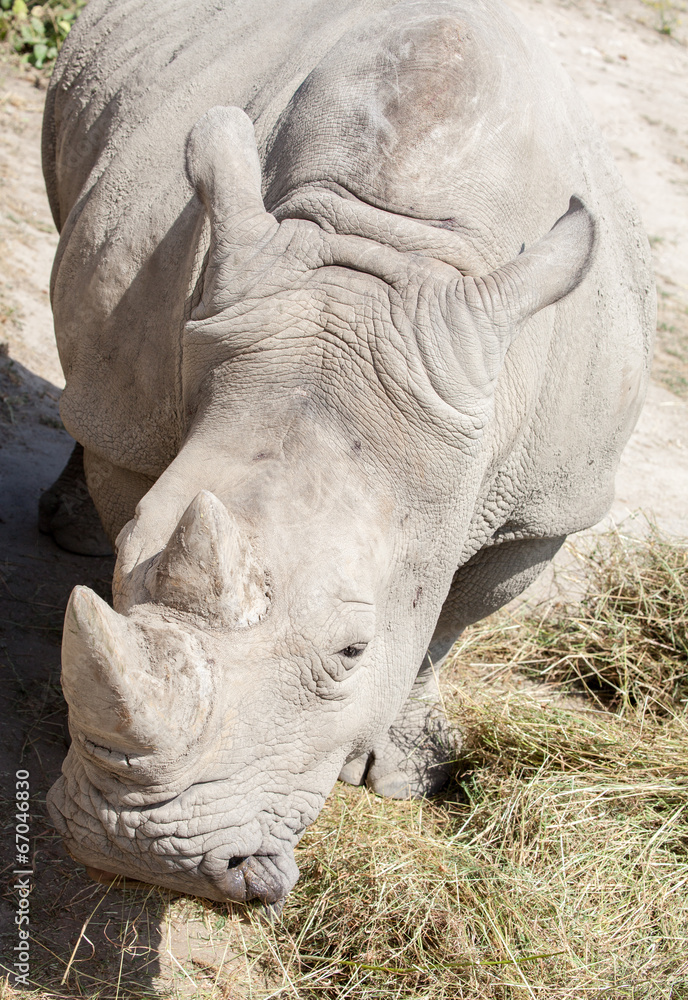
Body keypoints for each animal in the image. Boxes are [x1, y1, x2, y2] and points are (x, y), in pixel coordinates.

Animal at [42, 0, 654, 906]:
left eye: (352, 652)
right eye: (121, 566)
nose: (141, 850)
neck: (388, 251)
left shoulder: (546, 509)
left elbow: (452, 621)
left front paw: (404, 774)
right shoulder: (141, 405)